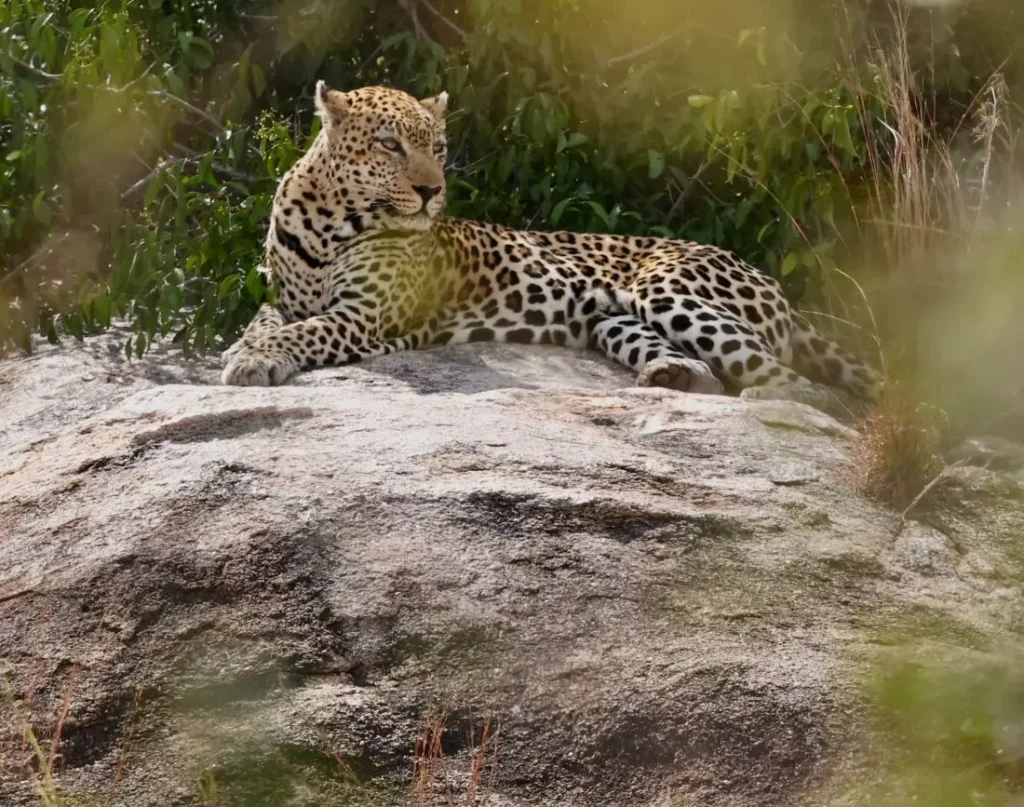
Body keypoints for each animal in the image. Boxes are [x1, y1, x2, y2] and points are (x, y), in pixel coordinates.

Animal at [221, 81, 880, 417]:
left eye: (438, 146)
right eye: (388, 144)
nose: (433, 191)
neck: (330, 217)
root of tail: (769, 281)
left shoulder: (367, 314)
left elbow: (307, 331)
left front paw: (256, 360)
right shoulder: (287, 295)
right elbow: (266, 319)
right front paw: (245, 348)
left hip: (669, 286)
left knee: (803, 385)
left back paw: (772, 402)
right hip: (613, 318)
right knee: (702, 369)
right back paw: (672, 376)